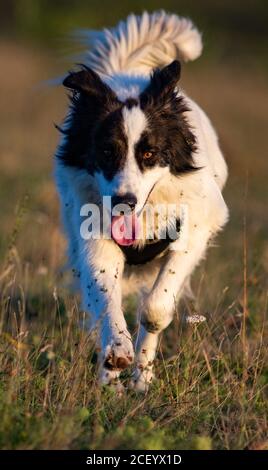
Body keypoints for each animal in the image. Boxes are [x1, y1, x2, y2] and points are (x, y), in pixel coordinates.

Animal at [55, 11, 228, 392]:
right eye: (107, 152)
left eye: (149, 153)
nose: (124, 201)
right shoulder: (93, 235)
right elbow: (105, 295)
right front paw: (116, 354)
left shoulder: (196, 229)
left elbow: (155, 308)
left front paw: (140, 368)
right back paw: (112, 380)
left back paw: (141, 380)